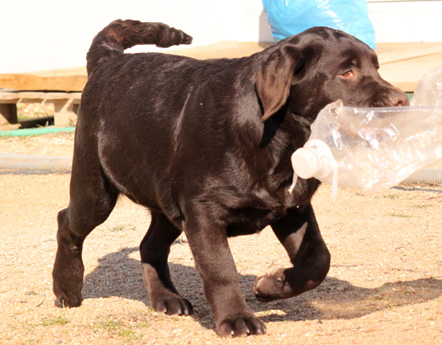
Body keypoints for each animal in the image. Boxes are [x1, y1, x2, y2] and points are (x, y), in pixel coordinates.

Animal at [52, 19, 410, 336]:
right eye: (346, 72)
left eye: (376, 68)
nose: (401, 101)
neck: (280, 138)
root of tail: (108, 60)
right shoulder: (203, 211)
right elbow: (221, 269)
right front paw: (237, 319)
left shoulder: (293, 208)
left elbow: (319, 258)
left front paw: (273, 284)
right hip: (95, 189)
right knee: (67, 224)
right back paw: (66, 288)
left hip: (167, 203)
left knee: (149, 245)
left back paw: (167, 299)